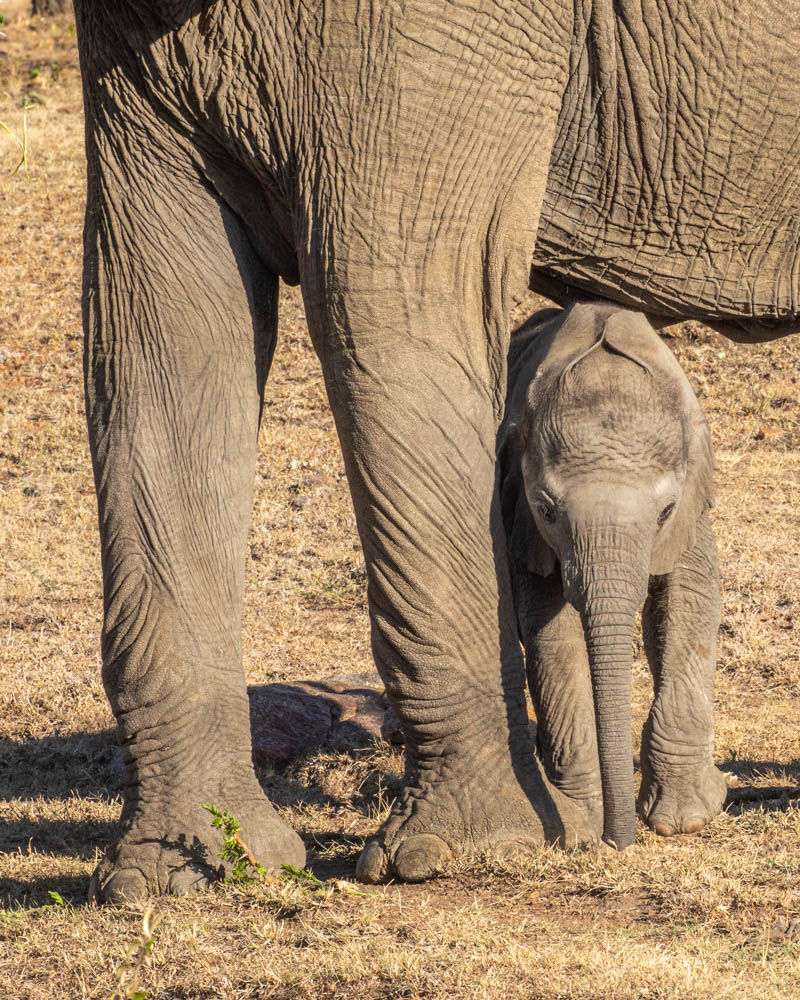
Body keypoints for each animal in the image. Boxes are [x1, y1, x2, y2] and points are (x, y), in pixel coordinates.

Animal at [500, 300, 732, 848]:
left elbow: (690, 603)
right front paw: (580, 826)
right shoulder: (520, 518)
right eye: (547, 511)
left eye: (665, 510)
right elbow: (549, 632)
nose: (619, 842)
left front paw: (685, 819)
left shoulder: (693, 508)